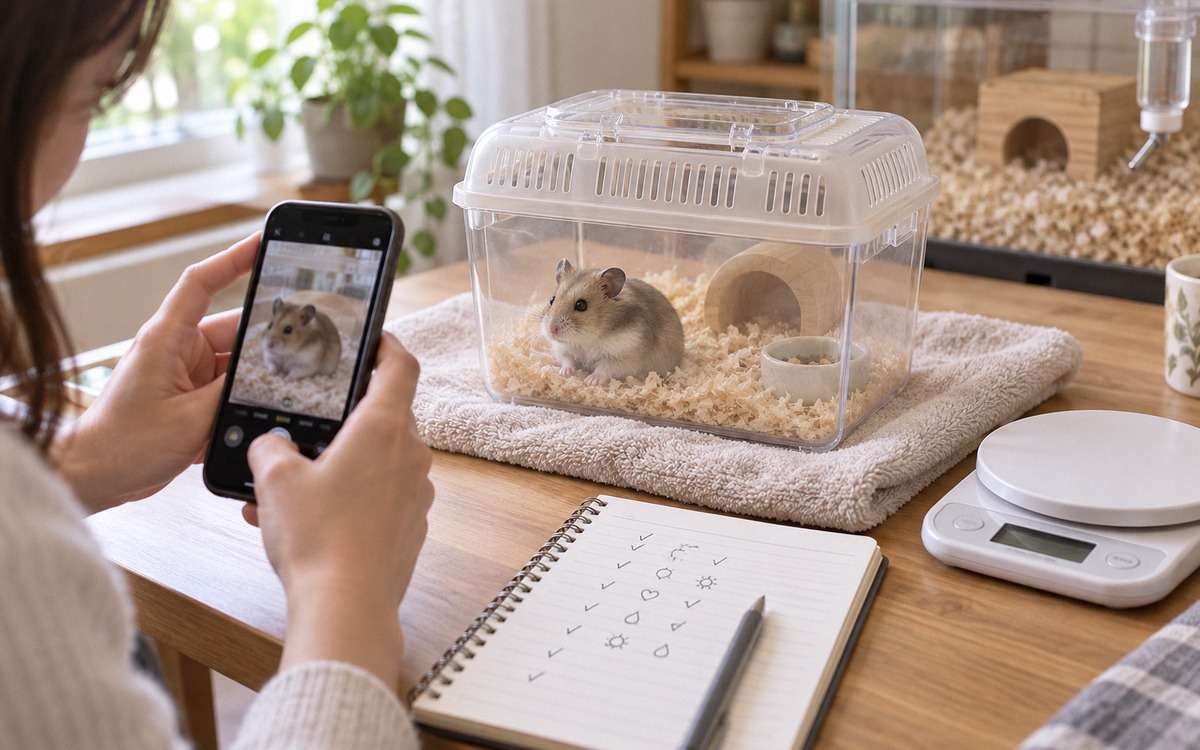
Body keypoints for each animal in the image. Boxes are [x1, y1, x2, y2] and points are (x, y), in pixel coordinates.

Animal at [541, 259, 685, 386]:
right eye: (552, 299)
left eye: (581, 305)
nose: (551, 329)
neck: (586, 339)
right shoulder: (562, 349)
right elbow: (567, 360)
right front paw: (564, 373)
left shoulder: (623, 356)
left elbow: (605, 369)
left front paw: (590, 381)